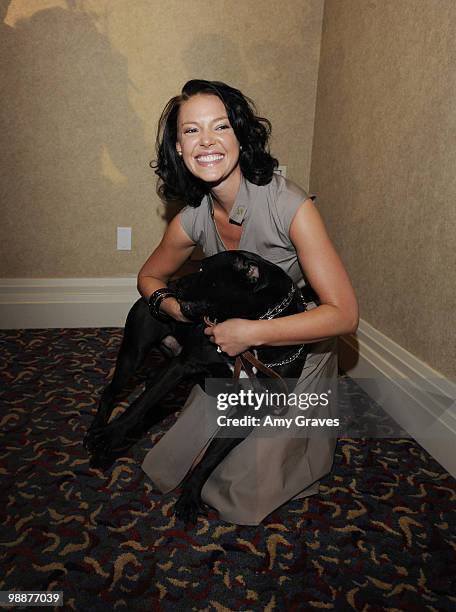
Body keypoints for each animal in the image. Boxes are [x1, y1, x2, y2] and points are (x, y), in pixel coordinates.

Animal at [84, 251, 314, 524]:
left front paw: (190, 495)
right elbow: (138, 406)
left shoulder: (251, 410)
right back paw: (97, 430)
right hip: (133, 356)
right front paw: (112, 434)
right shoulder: (181, 366)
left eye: (204, 270)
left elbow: (210, 458)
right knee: (113, 392)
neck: (252, 340)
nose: (177, 284)